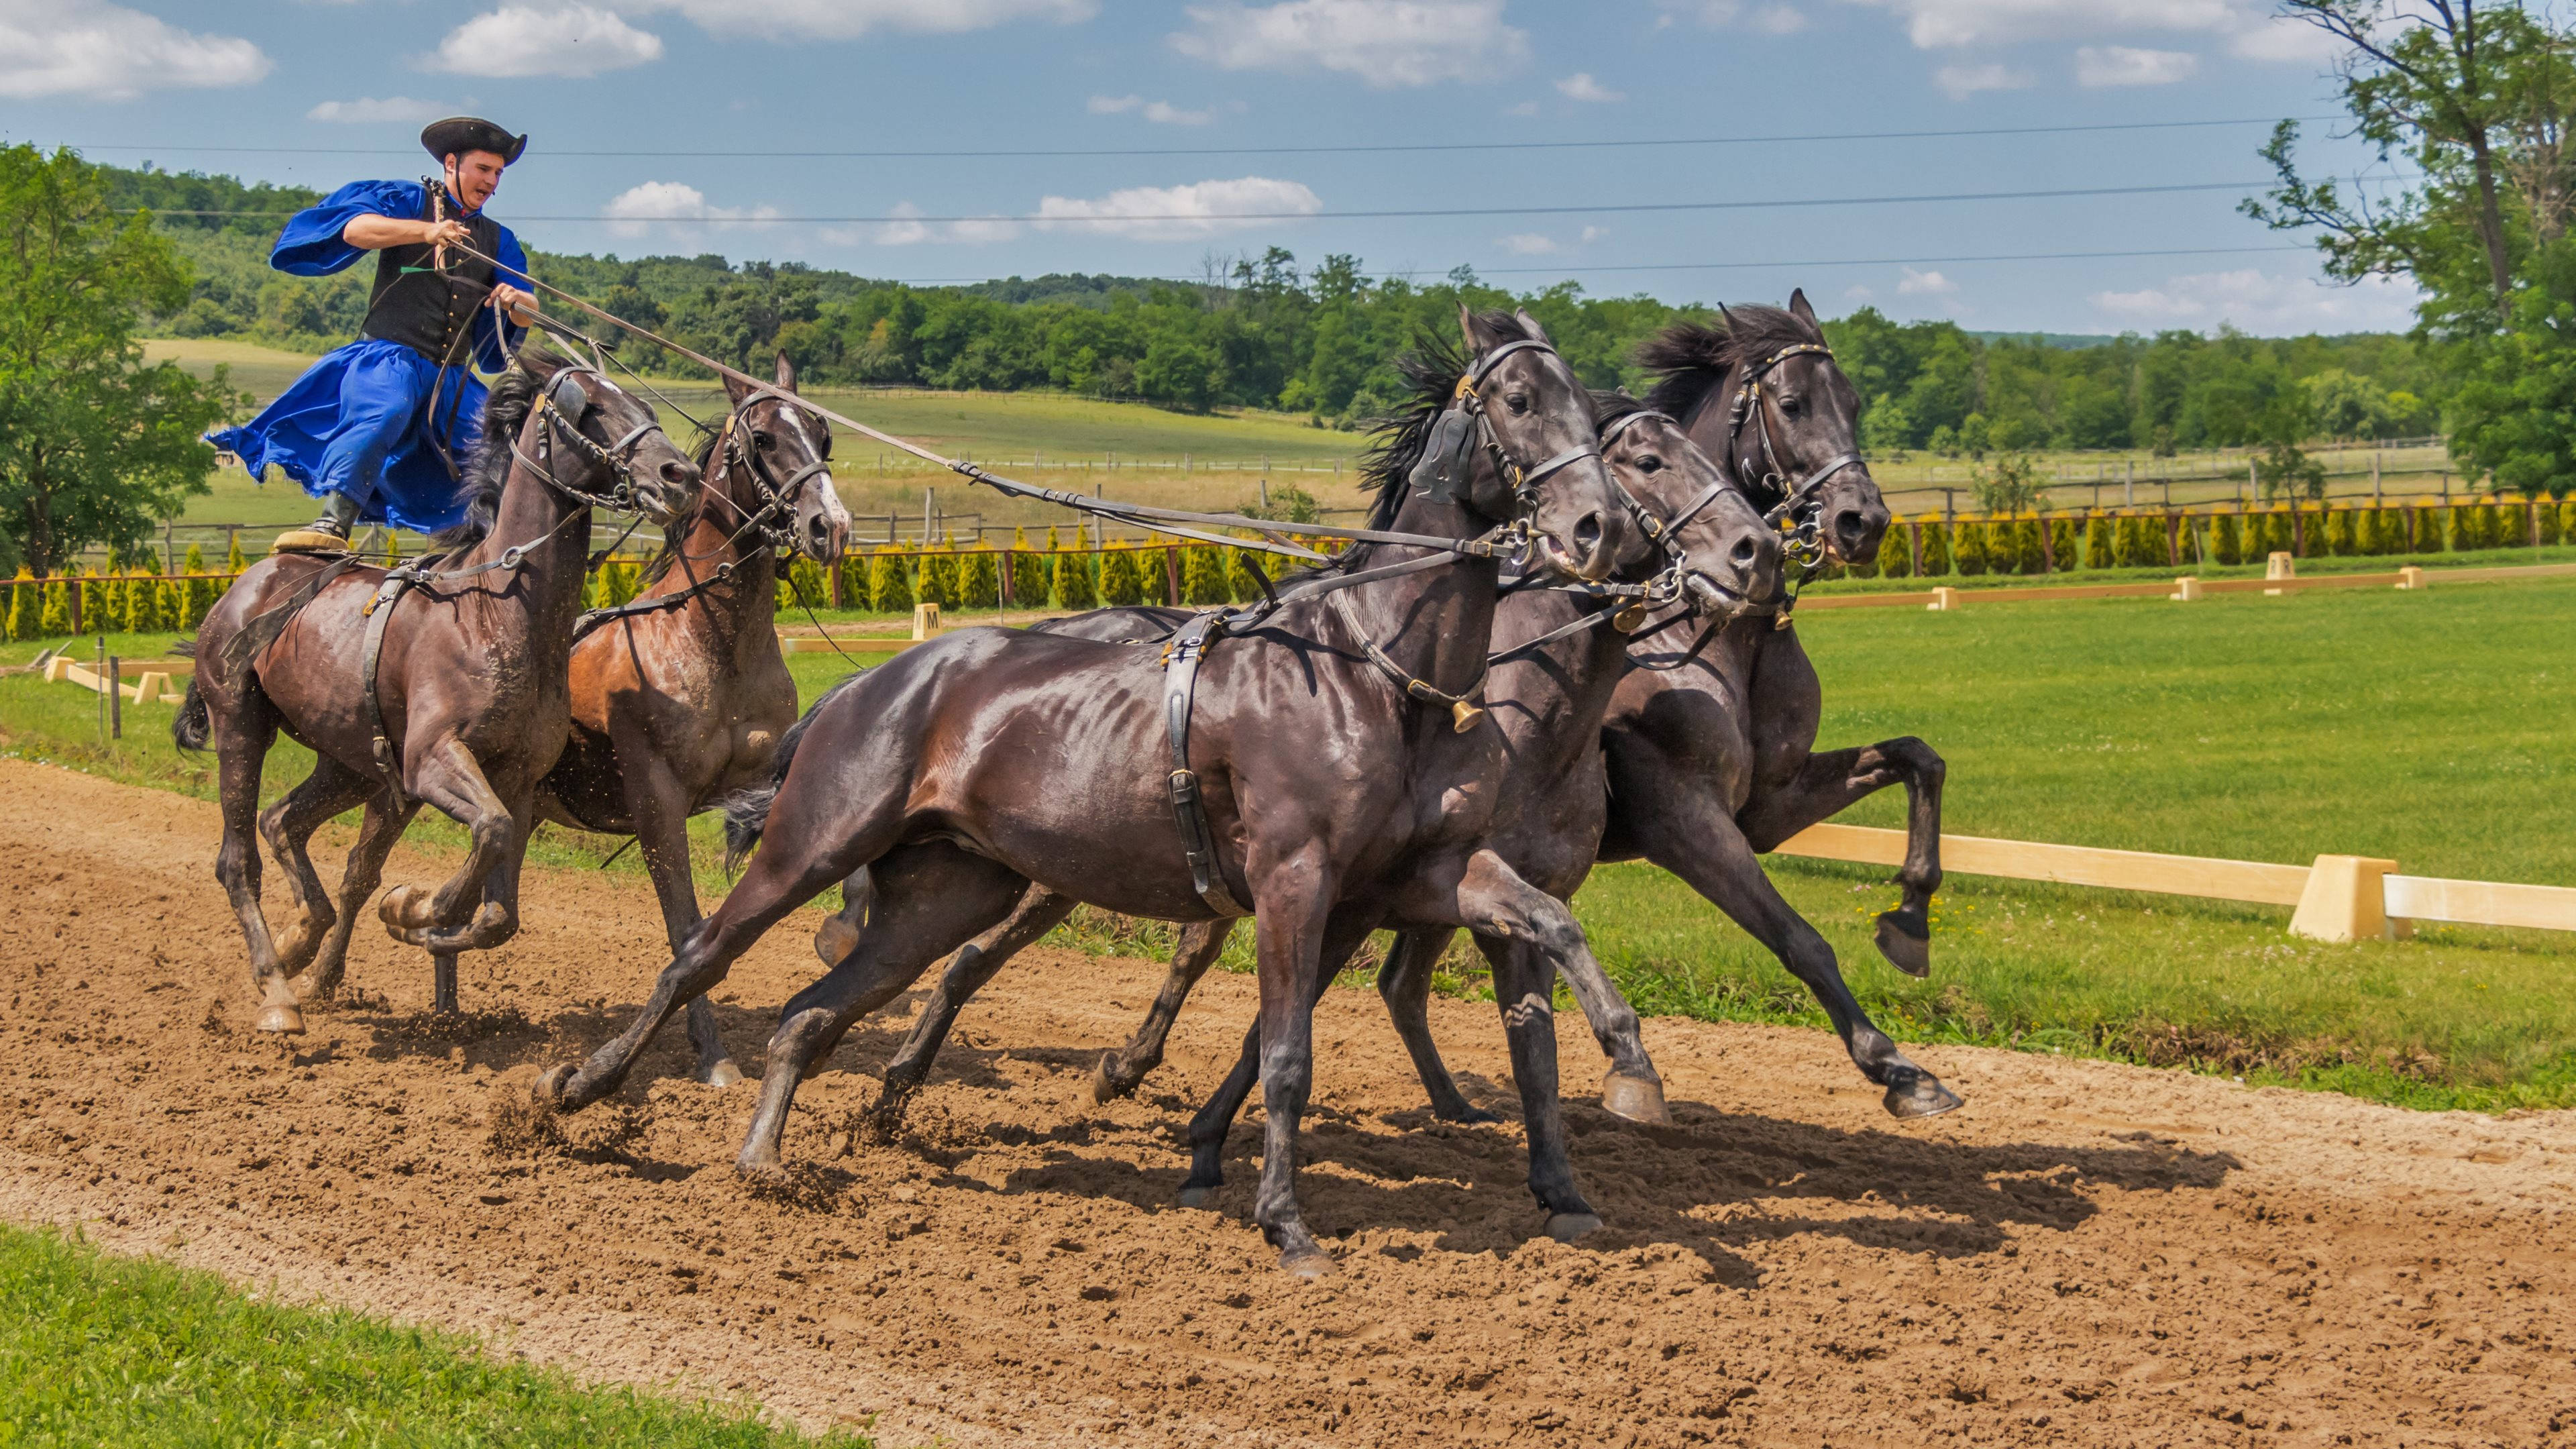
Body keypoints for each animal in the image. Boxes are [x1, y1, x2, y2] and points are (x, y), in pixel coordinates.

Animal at [175, 342, 701, 1034]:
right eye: (587, 407)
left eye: (642, 402)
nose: (679, 475)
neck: (496, 610)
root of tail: (247, 585)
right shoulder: (431, 761)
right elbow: (489, 835)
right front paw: (415, 906)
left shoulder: (515, 779)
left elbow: (499, 911)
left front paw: (415, 913)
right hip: (242, 725)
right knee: (238, 860)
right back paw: (277, 989)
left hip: (353, 761)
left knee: (284, 821)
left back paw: (302, 938)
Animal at [533, 352, 852, 1088]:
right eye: (763, 438)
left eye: (823, 437)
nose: (831, 527)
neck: (709, 637)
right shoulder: (658, 803)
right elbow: (686, 928)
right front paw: (713, 1056)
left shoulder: (762, 783)